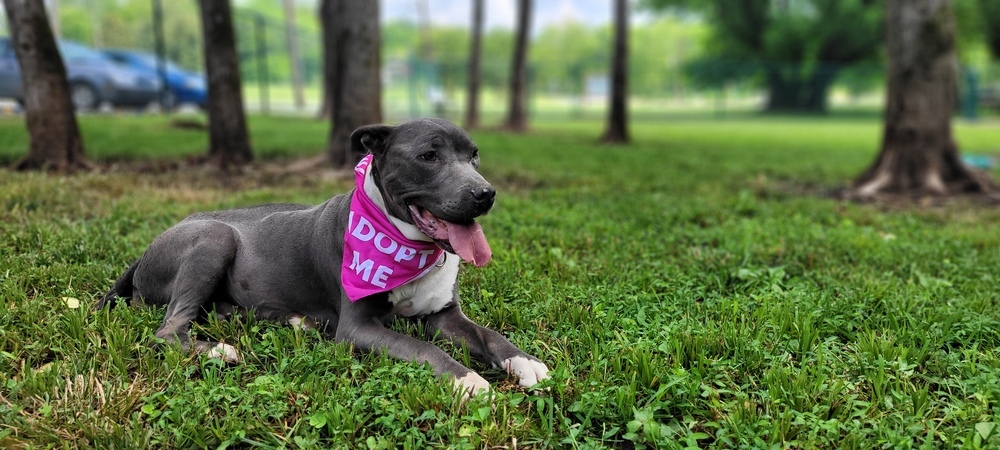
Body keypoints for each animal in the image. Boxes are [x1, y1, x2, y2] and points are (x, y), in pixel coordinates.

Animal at [97, 118, 552, 396]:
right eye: (428, 156)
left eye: (474, 155)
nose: (485, 193)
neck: (407, 243)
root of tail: (145, 251)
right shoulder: (358, 328)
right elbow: (422, 349)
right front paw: (467, 379)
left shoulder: (443, 316)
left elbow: (488, 334)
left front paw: (524, 362)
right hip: (214, 237)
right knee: (169, 329)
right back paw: (216, 350)